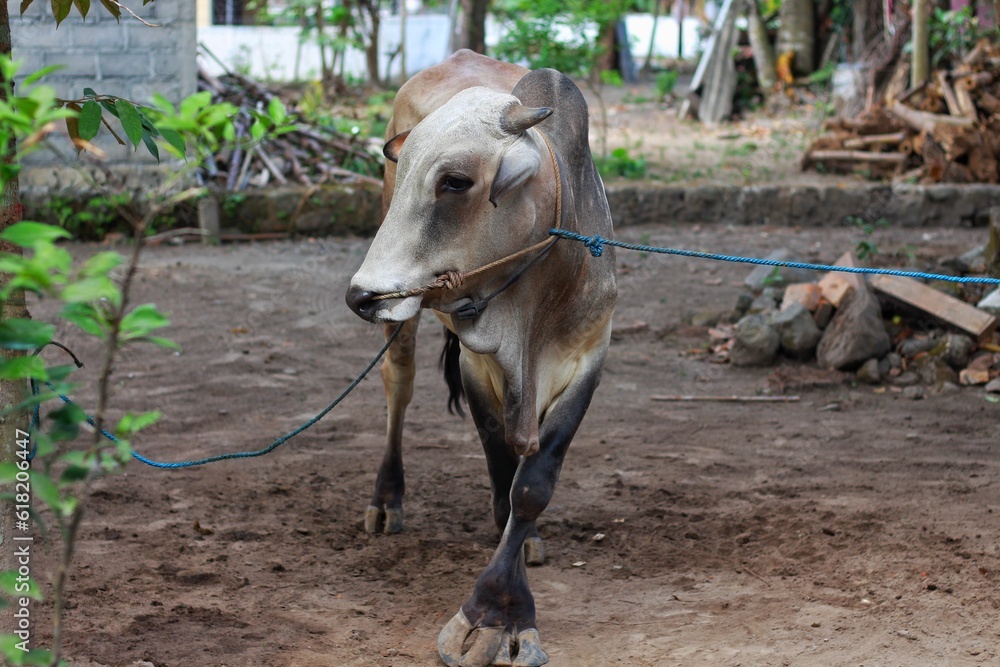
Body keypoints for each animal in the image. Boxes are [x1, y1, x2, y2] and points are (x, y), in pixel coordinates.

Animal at [348, 51, 620, 667]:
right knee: (398, 384)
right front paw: (491, 618)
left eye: (455, 180)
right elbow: (503, 478)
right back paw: (386, 498)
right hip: (403, 323)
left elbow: (532, 484)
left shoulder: (590, 358)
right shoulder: (481, 368)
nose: (361, 295)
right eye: (406, 171)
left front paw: (506, 606)